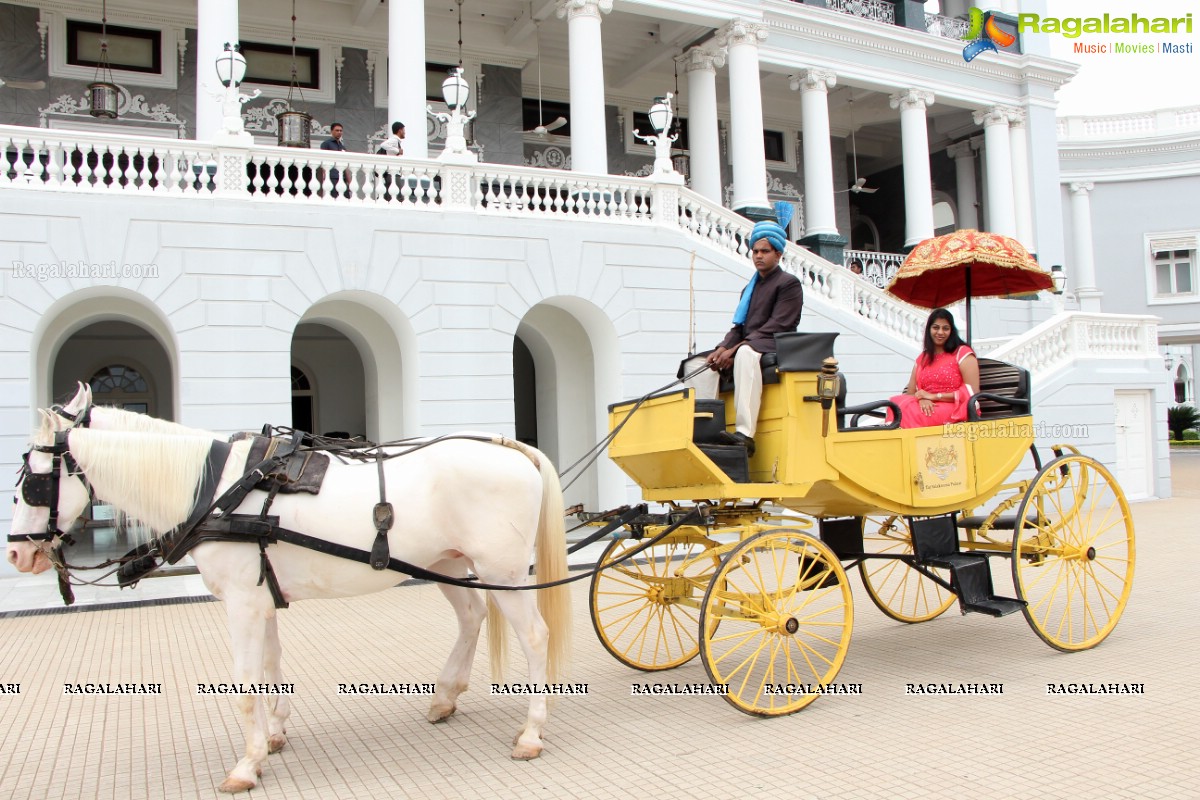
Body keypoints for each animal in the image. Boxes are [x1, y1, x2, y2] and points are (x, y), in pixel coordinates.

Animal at [8, 412, 571, 796]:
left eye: (32, 483)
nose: (16, 553)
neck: (219, 490)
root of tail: (510, 446)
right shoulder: (260, 598)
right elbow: (270, 667)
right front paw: (273, 734)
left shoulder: (241, 603)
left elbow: (243, 684)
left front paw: (246, 762)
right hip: (446, 562)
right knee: (471, 617)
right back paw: (446, 696)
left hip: (500, 570)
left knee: (535, 637)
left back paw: (532, 730)